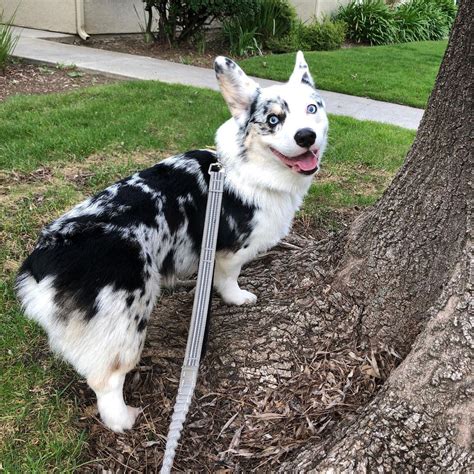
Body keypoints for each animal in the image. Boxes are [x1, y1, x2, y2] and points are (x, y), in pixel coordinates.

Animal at [17, 52, 330, 434]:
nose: (306, 136)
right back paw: (124, 419)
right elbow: (229, 280)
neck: (247, 168)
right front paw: (239, 298)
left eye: (312, 109)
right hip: (125, 319)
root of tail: (42, 261)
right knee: (106, 379)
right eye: (273, 119)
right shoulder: (231, 252)